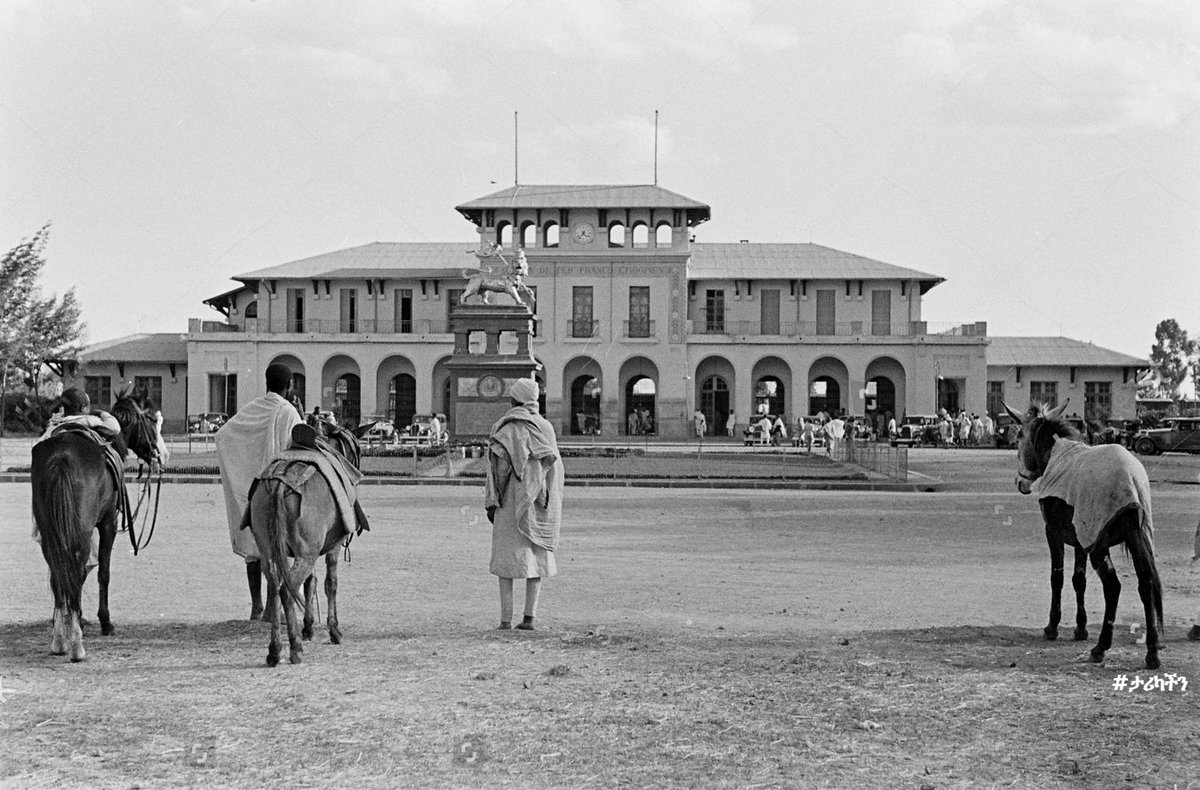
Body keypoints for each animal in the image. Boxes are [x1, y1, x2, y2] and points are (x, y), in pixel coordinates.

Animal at [30, 393, 163, 657]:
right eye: (152, 419)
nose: (158, 455)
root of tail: (61, 457)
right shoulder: (108, 523)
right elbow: (103, 572)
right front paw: (104, 621)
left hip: (51, 529)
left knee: (58, 571)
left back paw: (60, 638)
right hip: (81, 530)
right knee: (75, 567)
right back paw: (75, 643)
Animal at [249, 422, 362, 662]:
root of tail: (281, 483)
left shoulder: (310, 548)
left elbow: (311, 583)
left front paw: (308, 627)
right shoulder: (331, 547)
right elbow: (330, 583)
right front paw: (333, 629)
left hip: (269, 548)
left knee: (274, 586)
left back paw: (275, 648)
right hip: (305, 552)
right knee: (285, 589)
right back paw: (294, 646)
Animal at [1003, 401, 1161, 662]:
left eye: (1019, 437)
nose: (1020, 483)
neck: (1057, 453)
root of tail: (1128, 478)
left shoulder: (1054, 532)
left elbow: (1057, 577)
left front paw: (1052, 627)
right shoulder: (1081, 537)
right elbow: (1079, 580)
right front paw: (1080, 627)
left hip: (1099, 543)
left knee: (1113, 586)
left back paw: (1101, 647)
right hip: (1135, 536)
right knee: (1146, 582)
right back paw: (1152, 652)